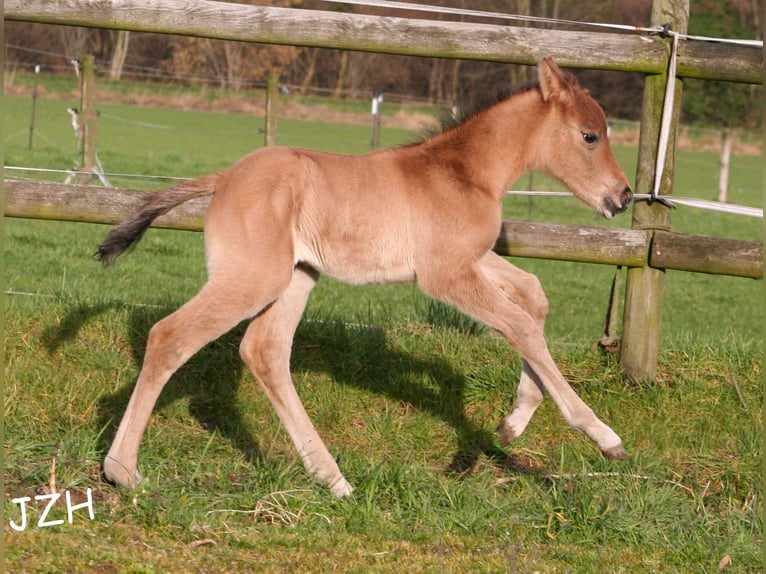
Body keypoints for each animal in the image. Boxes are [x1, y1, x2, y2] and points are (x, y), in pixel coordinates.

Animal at [97, 59, 636, 500]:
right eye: (590, 135)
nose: (623, 196)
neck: (462, 173)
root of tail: (224, 178)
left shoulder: (468, 259)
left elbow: (534, 297)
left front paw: (511, 425)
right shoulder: (445, 275)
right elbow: (518, 323)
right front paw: (604, 436)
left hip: (297, 277)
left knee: (264, 351)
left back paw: (333, 479)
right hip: (253, 279)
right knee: (170, 335)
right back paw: (123, 471)